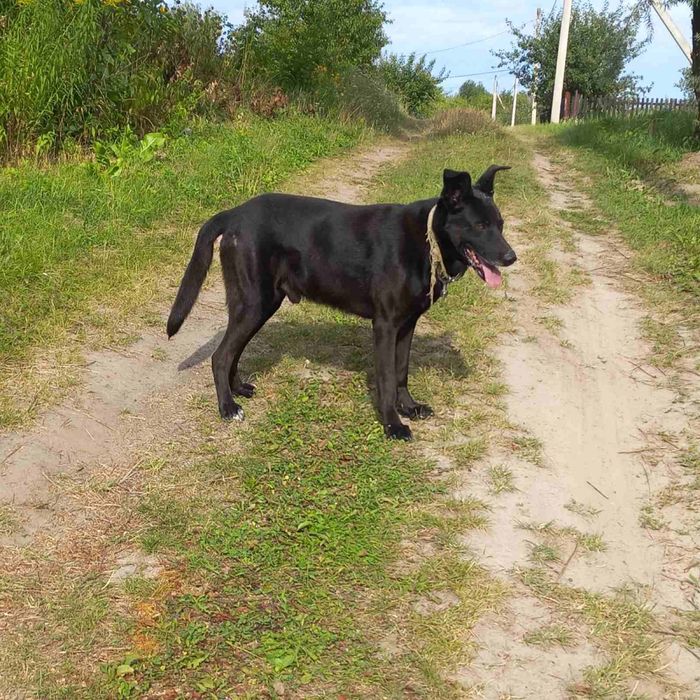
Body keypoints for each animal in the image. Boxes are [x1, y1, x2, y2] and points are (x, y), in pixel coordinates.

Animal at [167, 165, 516, 440]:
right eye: (480, 226)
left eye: (500, 224)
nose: (512, 257)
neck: (427, 240)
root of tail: (235, 213)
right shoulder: (385, 325)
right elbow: (387, 379)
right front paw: (392, 425)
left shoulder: (407, 325)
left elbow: (401, 372)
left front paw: (409, 407)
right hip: (255, 303)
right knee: (221, 355)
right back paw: (228, 407)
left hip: (256, 304)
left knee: (232, 351)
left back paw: (238, 390)